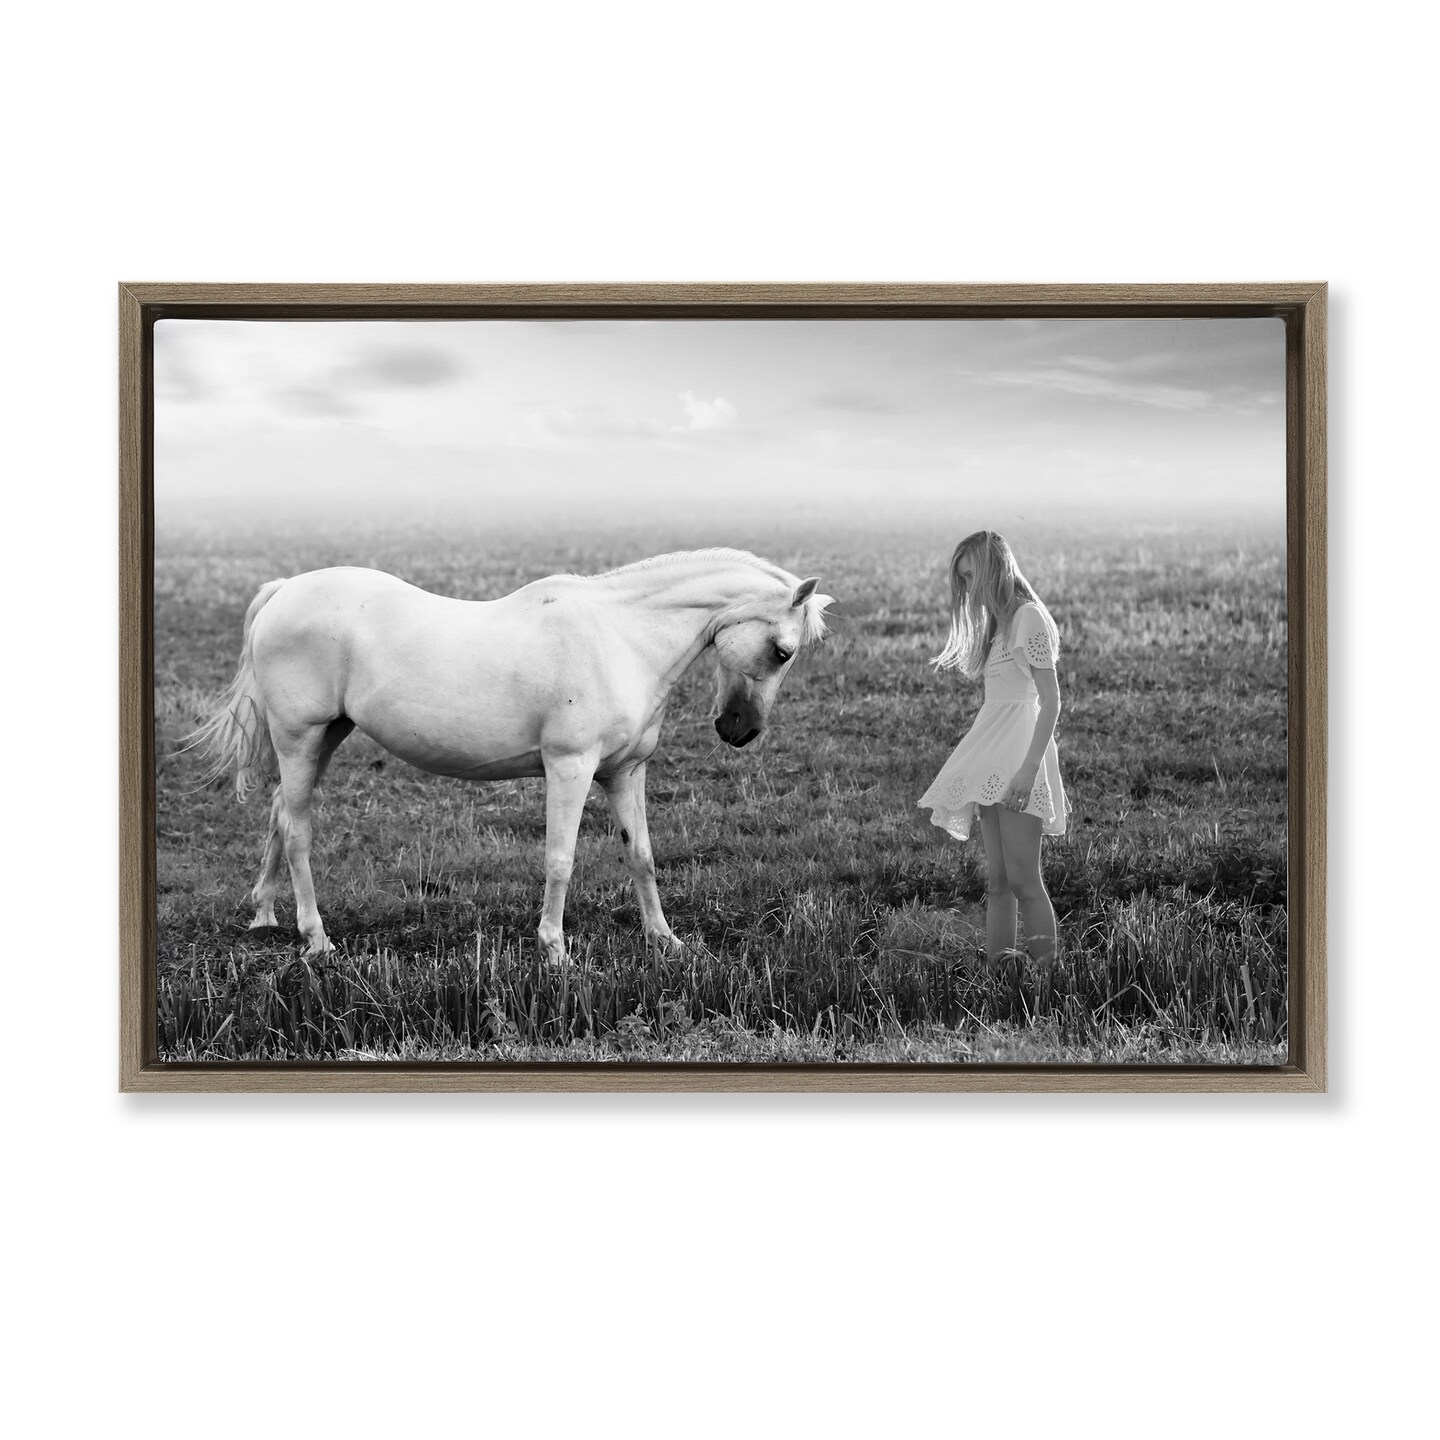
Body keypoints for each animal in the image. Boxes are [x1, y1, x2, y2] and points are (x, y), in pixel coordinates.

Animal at [190, 548, 834, 962]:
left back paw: (265, 915)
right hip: (300, 738)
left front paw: (665, 941)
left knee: (280, 813)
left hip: (326, 737)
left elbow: (642, 856)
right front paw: (555, 951)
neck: (621, 638)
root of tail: (284, 590)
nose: (740, 730)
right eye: (782, 651)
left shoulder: (625, 773)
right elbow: (560, 860)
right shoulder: (569, 768)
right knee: (298, 830)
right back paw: (316, 938)